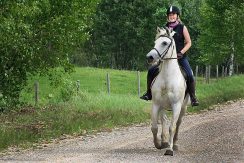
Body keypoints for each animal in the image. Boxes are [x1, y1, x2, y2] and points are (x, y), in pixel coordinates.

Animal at [146, 26, 190, 155]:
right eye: (155, 42)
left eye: (164, 43)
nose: (149, 57)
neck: (167, 78)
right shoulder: (156, 104)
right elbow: (154, 127)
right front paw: (159, 144)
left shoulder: (176, 105)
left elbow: (172, 127)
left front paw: (170, 149)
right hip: (162, 106)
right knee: (164, 120)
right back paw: (164, 141)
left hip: (183, 107)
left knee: (178, 123)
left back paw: (174, 144)